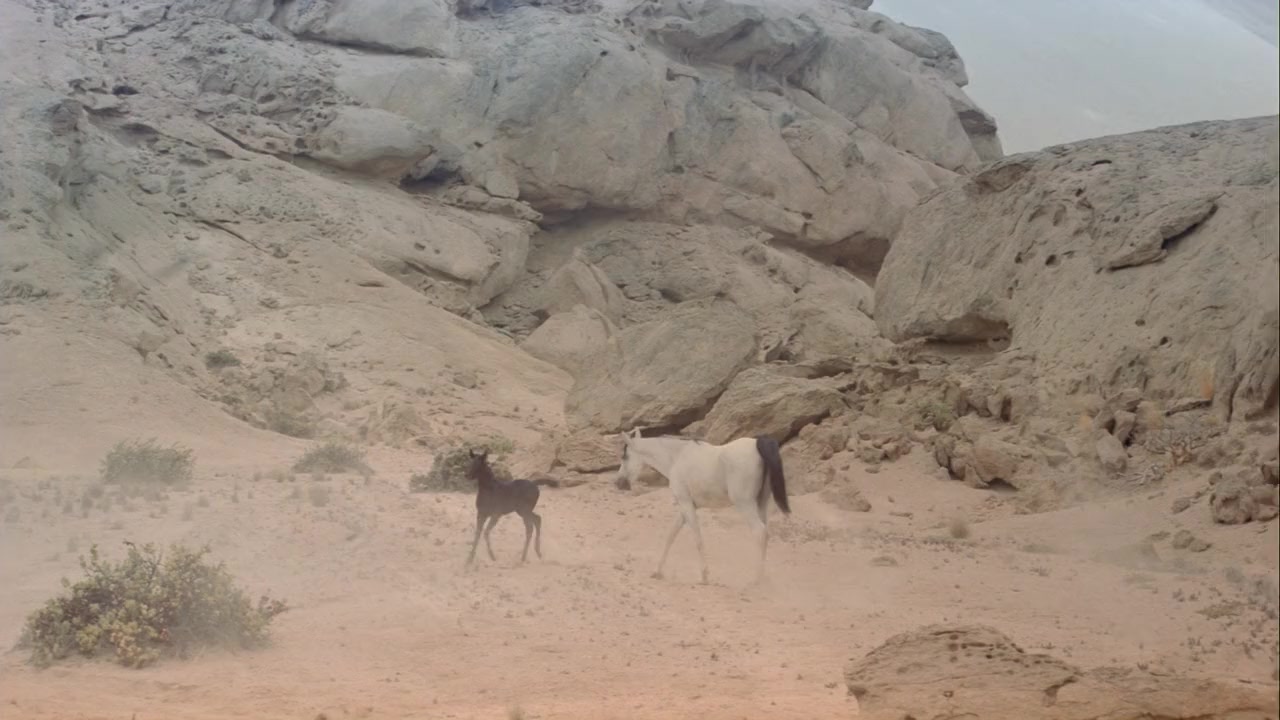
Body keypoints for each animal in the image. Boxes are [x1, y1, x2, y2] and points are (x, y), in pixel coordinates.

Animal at [614, 429, 790, 585]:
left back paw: (756, 579)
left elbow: (697, 539)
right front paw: (658, 571)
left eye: (625, 456)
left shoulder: (686, 504)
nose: (618, 483)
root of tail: (758, 444)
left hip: (745, 505)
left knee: (759, 532)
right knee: (765, 534)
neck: (677, 457)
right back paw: (763, 576)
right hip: (760, 504)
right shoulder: (685, 507)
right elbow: (671, 536)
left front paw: (704, 576)